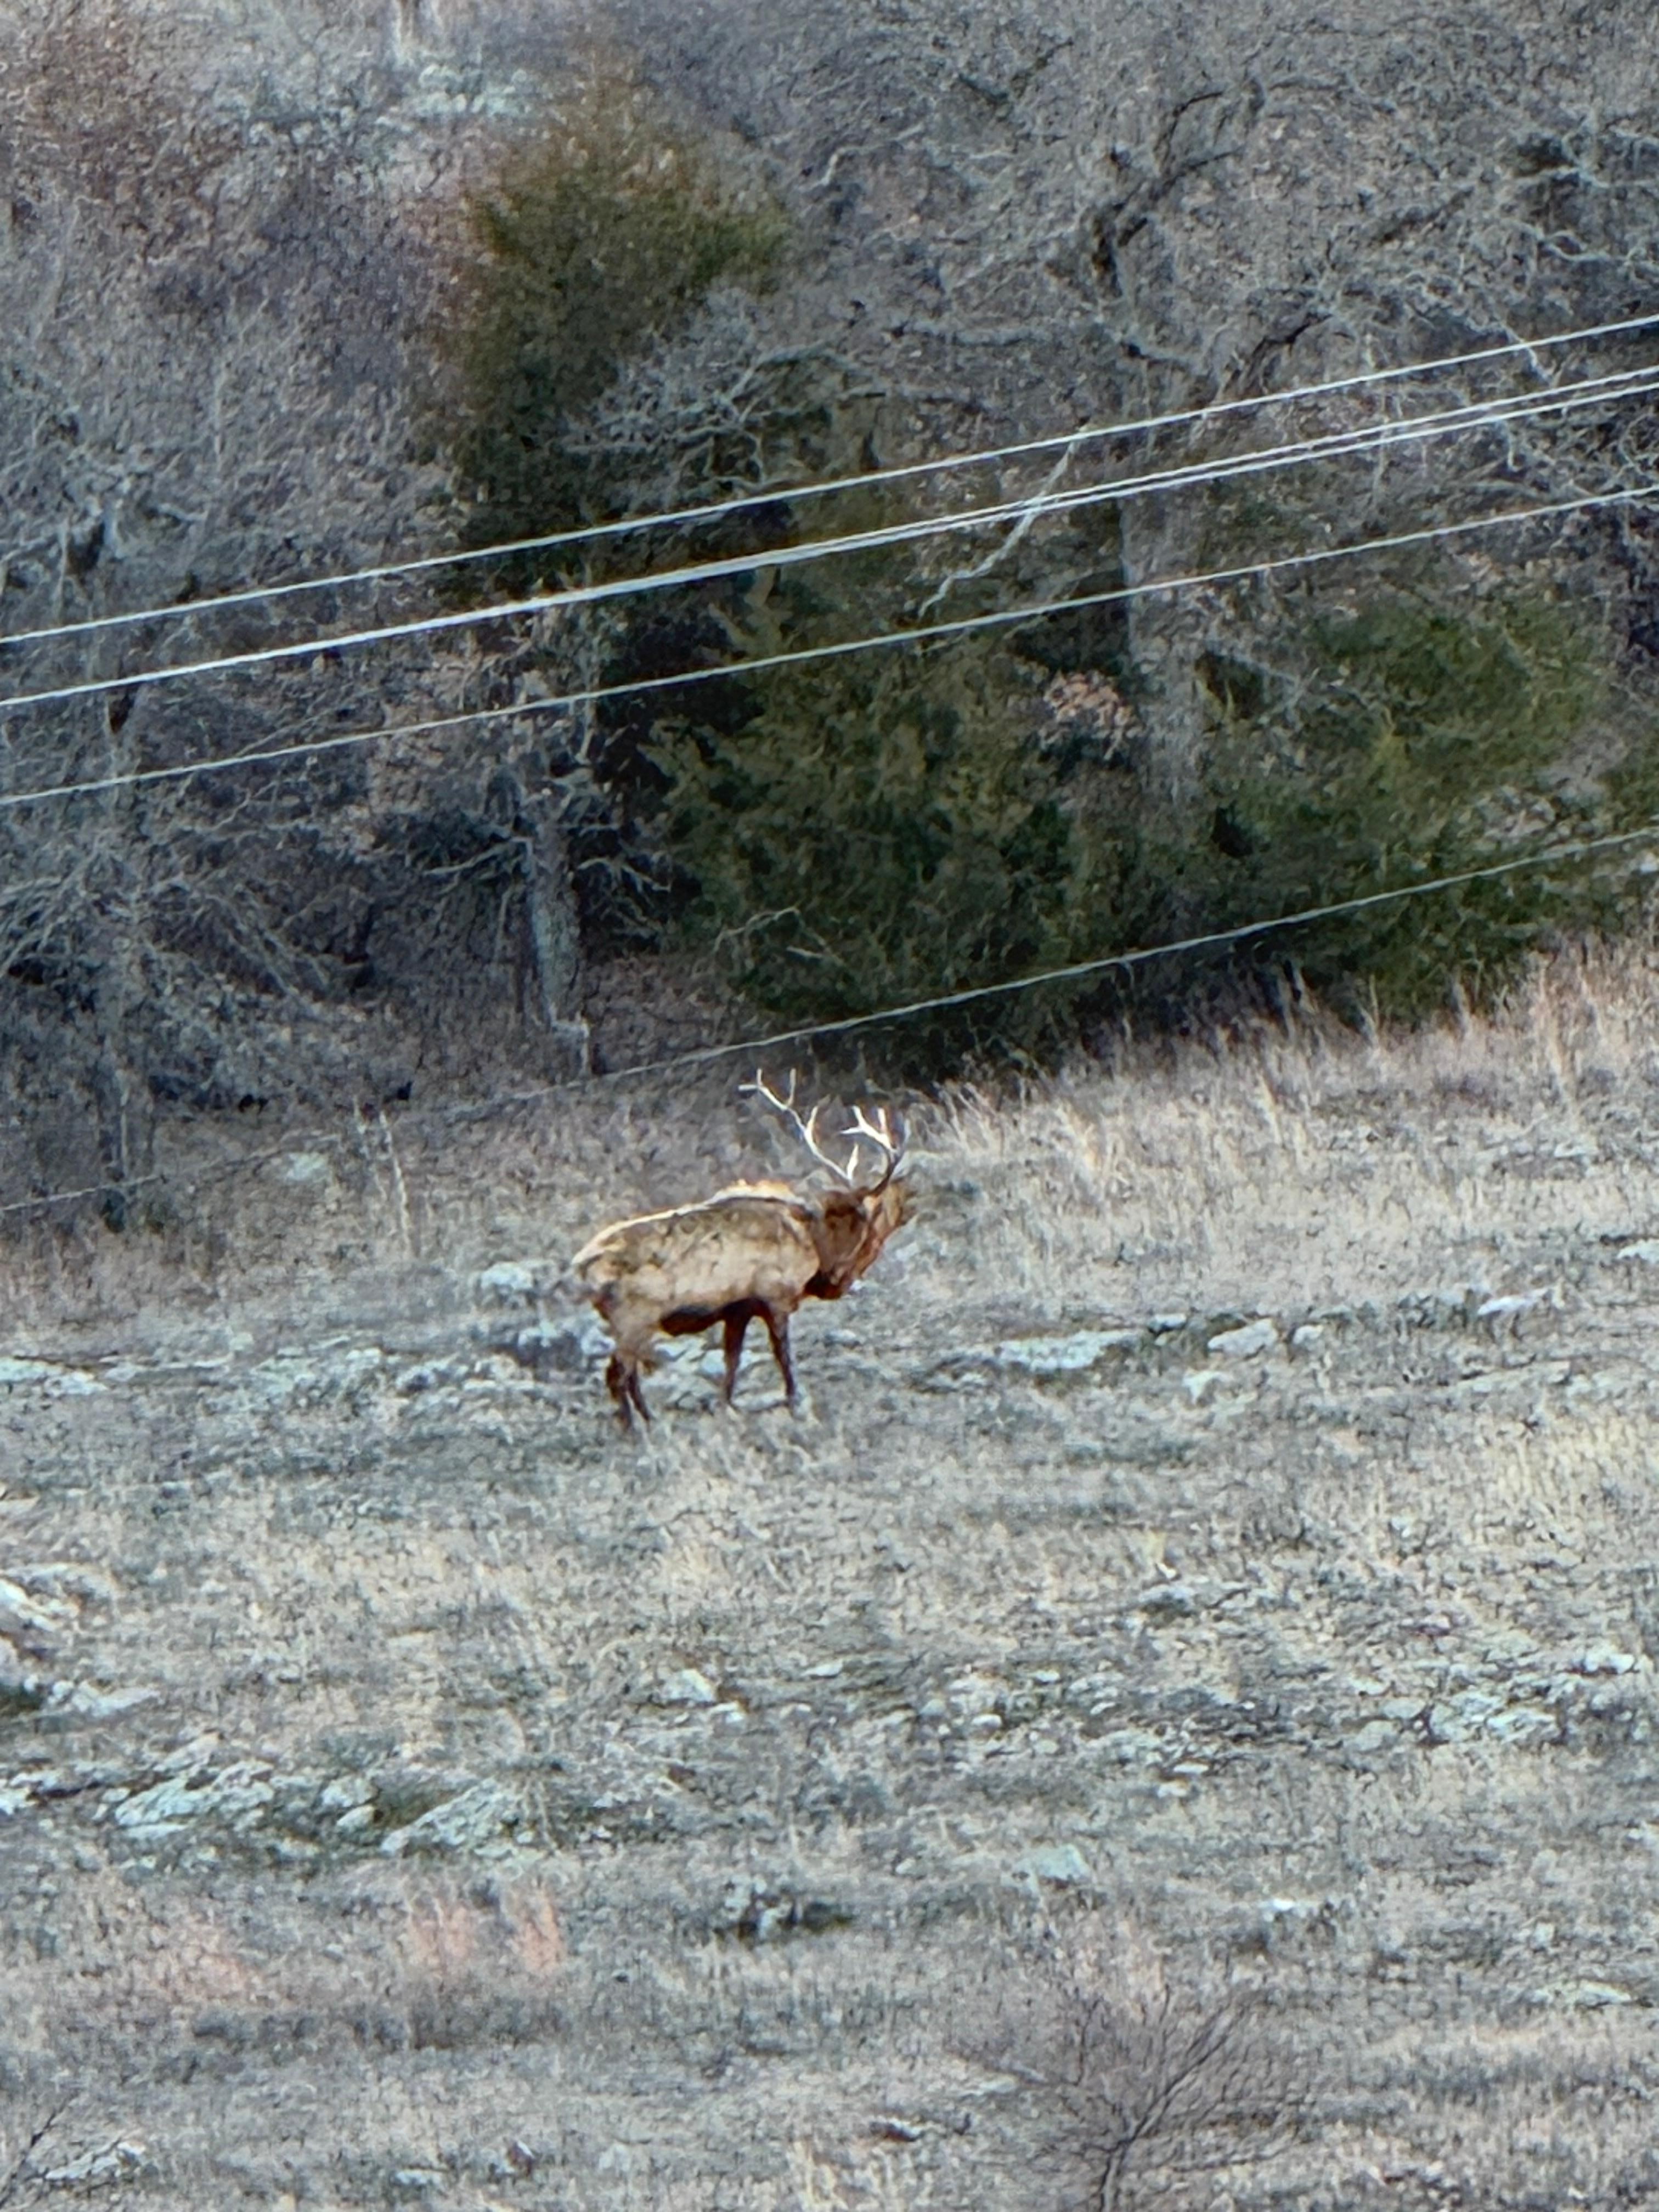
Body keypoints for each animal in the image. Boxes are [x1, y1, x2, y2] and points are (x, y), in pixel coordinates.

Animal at [570, 1072, 911, 1424]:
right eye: (874, 1214)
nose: (909, 1206)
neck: (815, 1244)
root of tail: (581, 1269)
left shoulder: (738, 1309)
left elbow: (732, 1360)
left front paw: (726, 1405)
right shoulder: (775, 1296)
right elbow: (783, 1356)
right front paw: (794, 1401)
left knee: (628, 1375)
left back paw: (649, 1420)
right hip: (634, 1318)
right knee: (617, 1374)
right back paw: (636, 1428)